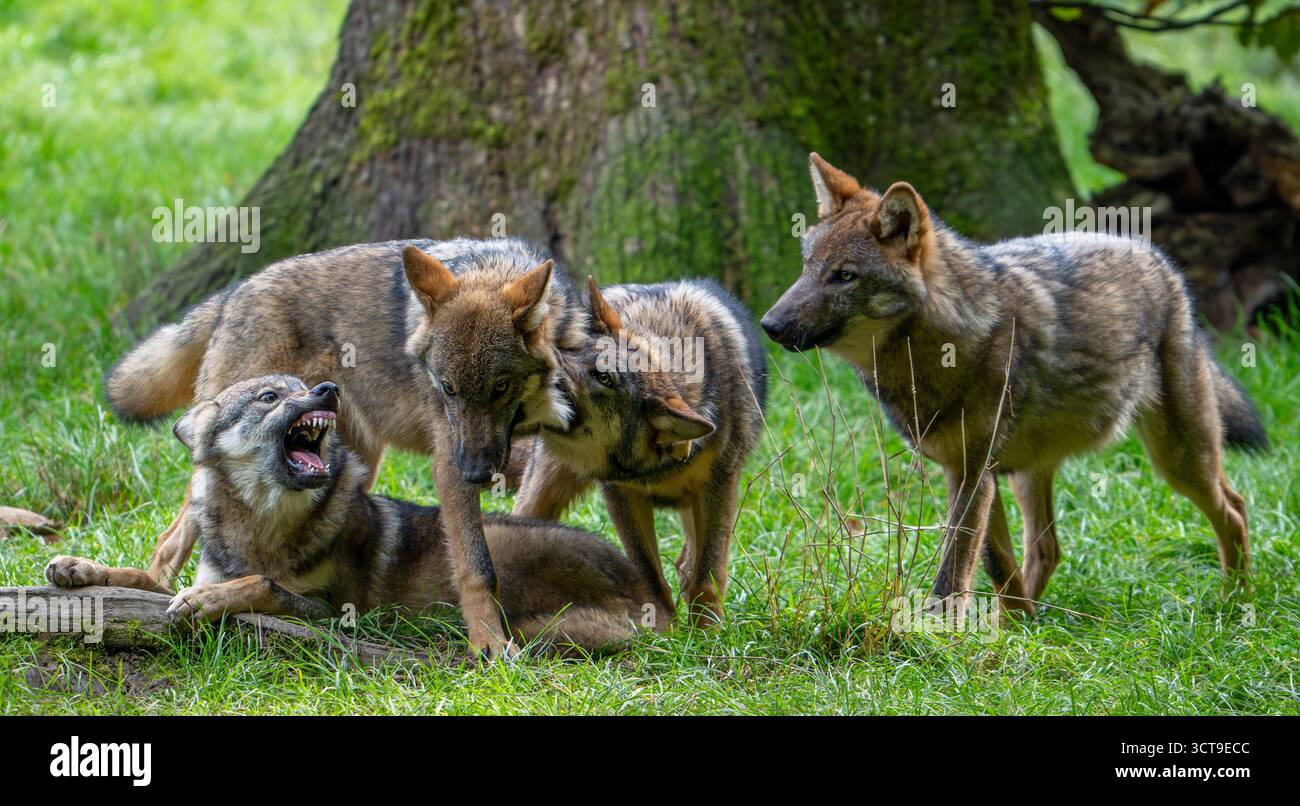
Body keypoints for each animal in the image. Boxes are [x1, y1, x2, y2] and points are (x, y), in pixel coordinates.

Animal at [47, 375, 653, 654]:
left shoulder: (333, 613)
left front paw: (207, 602)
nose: (327, 388)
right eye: (270, 396)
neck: (264, 523)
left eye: (301, 387)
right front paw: (77, 567)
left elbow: (259, 583)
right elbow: (139, 576)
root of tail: (653, 598)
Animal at [105, 238, 586, 657]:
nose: (477, 474)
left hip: (360, 459)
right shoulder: (449, 458)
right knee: (169, 540)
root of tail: (231, 294)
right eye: (448, 389)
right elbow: (477, 565)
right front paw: (489, 643)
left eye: (500, 387)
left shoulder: (553, 458)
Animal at [513, 277, 768, 627]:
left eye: (605, 377)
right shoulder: (621, 492)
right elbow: (649, 574)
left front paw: (708, 633)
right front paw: (659, 629)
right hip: (541, 494)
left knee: (687, 563)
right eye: (570, 350)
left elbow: (707, 576)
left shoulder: (719, 486)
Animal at [761, 153, 1266, 615]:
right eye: (807, 267)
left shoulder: (973, 471)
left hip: (1176, 460)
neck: (940, 346)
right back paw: (1031, 620)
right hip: (1029, 470)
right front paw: (1016, 630)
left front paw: (942, 631)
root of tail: (1158, 257)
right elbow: (996, 563)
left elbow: (955, 570)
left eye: (845, 276)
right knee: (1048, 548)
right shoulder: (972, 470)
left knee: (1235, 508)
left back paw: (1236, 602)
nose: (769, 325)